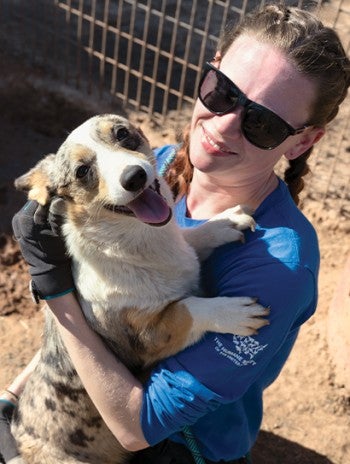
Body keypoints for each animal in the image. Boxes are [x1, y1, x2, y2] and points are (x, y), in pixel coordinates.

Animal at [11, 113, 268, 464]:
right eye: (82, 171)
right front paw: (231, 311)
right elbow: (187, 307)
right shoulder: (146, 339)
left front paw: (223, 223)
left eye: (122, 134)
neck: (136, 244)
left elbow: (193, 238)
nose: (134, 177)